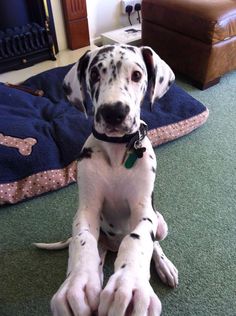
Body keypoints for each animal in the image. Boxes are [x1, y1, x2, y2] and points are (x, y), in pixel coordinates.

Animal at [35, 44, 178, 316]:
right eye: (94, 75)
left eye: (136, 75)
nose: (113, 113)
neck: (117, 149)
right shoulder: (87, 209)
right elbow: (83, 240)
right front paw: (77, 284)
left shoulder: (144, 211)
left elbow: (139, 239)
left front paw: (129, 284)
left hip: (161, 222)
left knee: (155, 243)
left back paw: (164, 265)